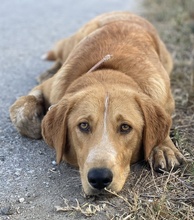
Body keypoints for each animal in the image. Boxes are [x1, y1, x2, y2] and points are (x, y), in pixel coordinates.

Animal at [9, 11, 185, 194]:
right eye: (83, 125)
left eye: (125, 127)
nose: (99, 177)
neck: (108, 71)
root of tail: (126, 13)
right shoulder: (49, 88)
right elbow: (22, 112)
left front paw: (163, 146)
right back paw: (49, 70)